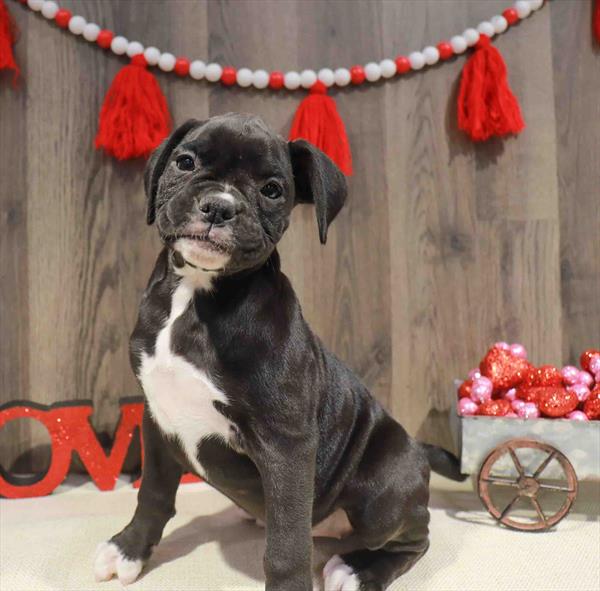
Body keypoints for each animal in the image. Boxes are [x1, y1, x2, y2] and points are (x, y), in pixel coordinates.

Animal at [93, 113, 464, 591]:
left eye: (271, 190)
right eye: (185, 162)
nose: (219, 206)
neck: (196, 293)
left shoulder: (285, 445)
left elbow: (286, 547)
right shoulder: (157, 416)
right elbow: (153, 492)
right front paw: (129, 549)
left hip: (384, 491)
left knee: (413, 537)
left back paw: (359, 570)